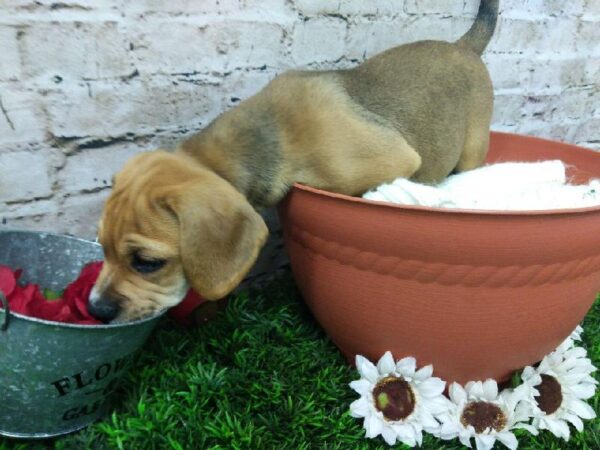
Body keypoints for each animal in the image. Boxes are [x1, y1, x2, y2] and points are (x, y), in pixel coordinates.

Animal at [90, 0, 502, 324]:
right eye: (101, 245)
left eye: (147, 262)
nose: (95, 310)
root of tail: (464, 45)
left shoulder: (397, 158)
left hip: (472, 146)